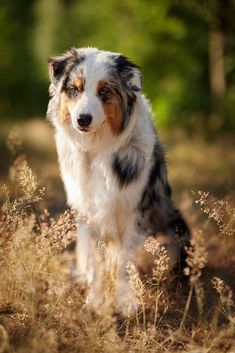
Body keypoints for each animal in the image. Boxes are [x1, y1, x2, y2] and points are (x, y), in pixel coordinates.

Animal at [46, 46, 190, 314]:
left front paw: (125, 302)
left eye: (105, 91)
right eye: (74, 89)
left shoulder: (136, 212)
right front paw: (93, 301)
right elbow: (94, 262)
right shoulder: (87, 212)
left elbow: (125, 262)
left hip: (174, 232)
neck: (97, 148)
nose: (82, 119)